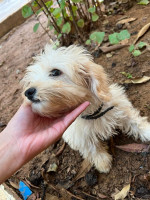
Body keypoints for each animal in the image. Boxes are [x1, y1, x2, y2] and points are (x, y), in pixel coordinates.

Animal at [22, 44, 150, 173]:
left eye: (55, 72)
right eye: (31, 81)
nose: (28, 92)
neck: (94, 113)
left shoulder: (120, 107)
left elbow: (135, 122)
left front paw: (147, 131)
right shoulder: (78, 136)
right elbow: (91, 147)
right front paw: (102, 161)